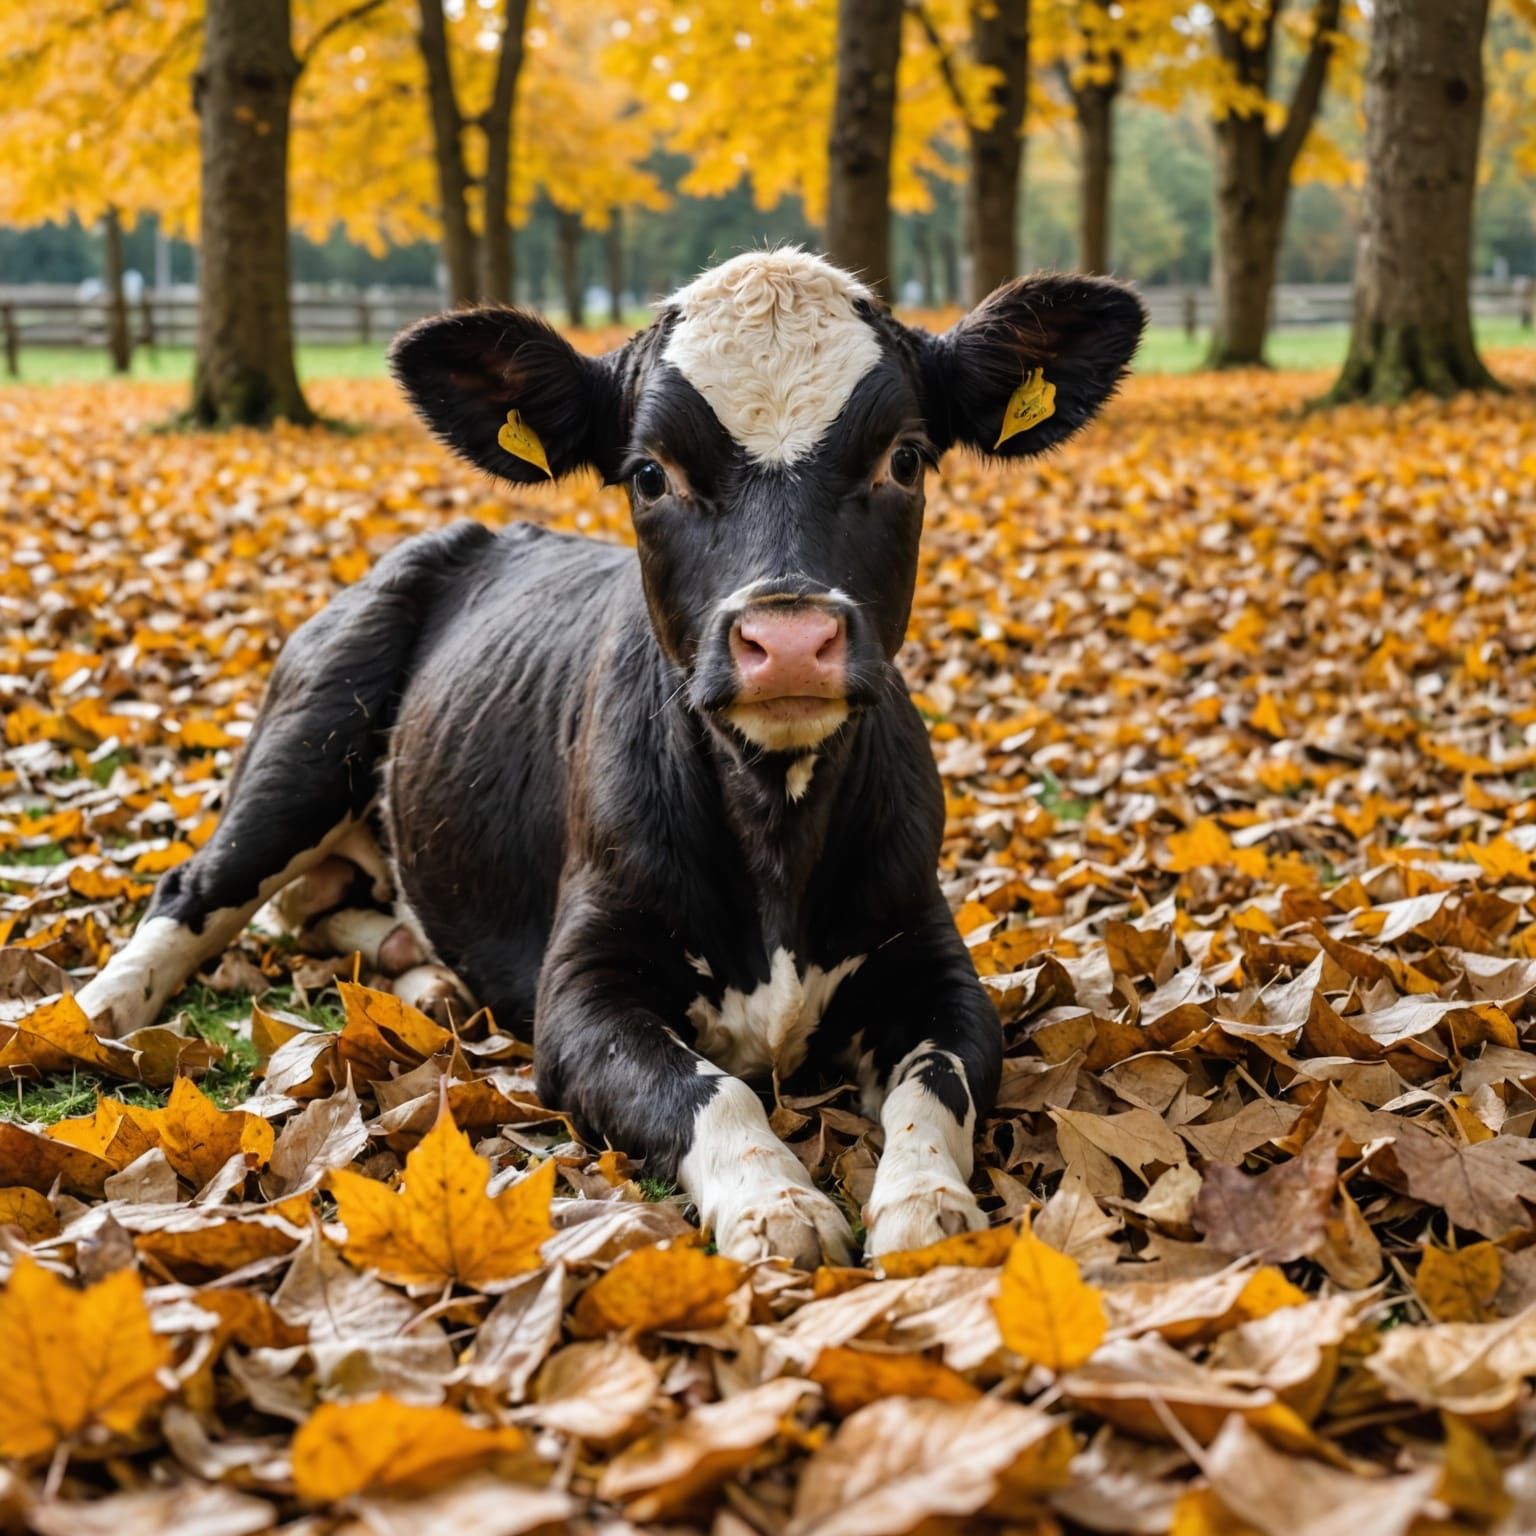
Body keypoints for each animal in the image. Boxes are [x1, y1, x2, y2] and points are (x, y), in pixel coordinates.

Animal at [77, 250, 1144, 1264]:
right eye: (649, 474)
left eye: (907, 459)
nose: (789, 638)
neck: (774, 830)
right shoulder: (582, 988)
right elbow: (711, 1091)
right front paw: (778, 1205)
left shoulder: (933, 956)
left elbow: (939, 1082)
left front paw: (929, 1202)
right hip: (310, 737)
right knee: (195, 888)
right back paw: (91, 1016)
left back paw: (423, 975)